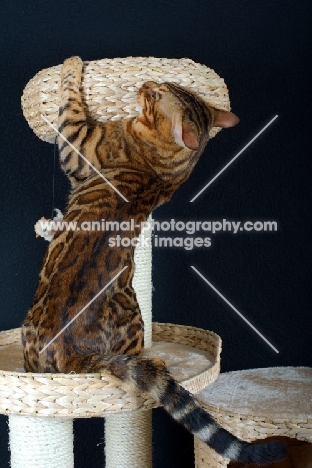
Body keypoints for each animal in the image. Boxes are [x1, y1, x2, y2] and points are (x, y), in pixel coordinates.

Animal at [21, 55, 288, 464]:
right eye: (166, 86)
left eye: (157, 95)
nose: (147, 82)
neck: (166, 166)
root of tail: (82, 357)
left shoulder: (77, 146)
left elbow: (69, 100)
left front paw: (72, 64)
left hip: (130, 312)